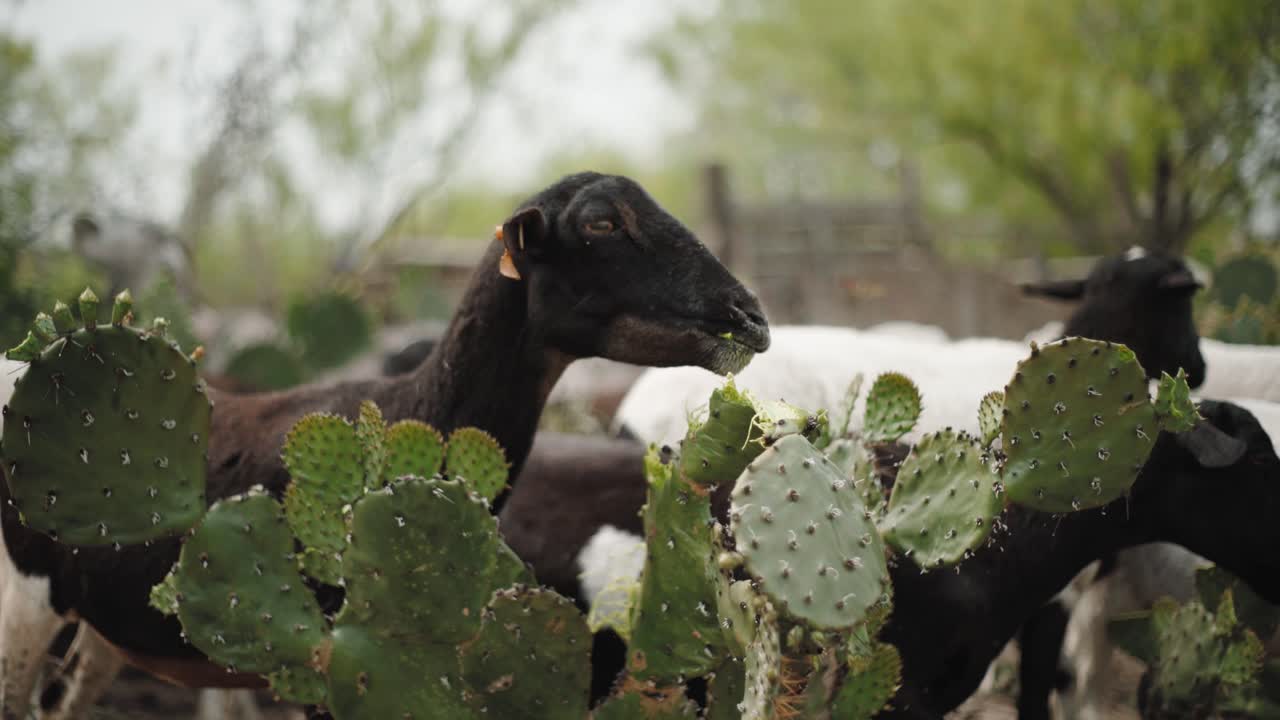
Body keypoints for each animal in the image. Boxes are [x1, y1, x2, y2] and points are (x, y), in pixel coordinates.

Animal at [0, 172, 770, 717]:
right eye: (601, 222)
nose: (751, 318)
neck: (413, 413)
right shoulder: (327, 658)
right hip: (20, 605)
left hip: (99, 625)